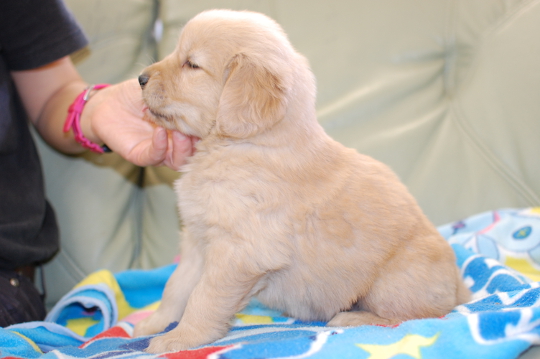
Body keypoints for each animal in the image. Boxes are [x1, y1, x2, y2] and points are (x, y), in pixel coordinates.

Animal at [131, 9, 468, 354]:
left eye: (191, 64)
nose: (140, 78)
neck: (242, 144)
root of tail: (460, 289)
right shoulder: (197, 242)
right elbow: (176, 287)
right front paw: (155, 324)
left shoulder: (238, 252)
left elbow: (204, 297)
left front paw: (180, 338)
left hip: (391, 282)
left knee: (412, 315)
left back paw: (352, 318)